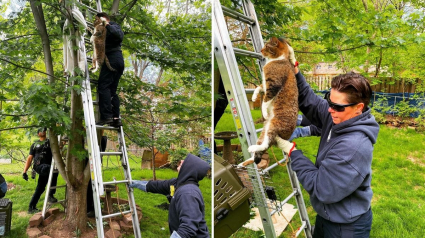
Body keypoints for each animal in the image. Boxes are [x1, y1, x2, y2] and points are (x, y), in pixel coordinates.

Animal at [240, 37, 296, 167]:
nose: (260, 50)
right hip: (264, 130)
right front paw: (254, 97)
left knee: (265, 144)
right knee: (260, 148)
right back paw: (244, 162)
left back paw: (251, 148)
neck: (279, 59)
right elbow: (259, 87)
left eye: (266, 46)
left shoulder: (273, 84)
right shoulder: (266, 84)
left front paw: (264, 111)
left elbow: (265, 100)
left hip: (273, 126)